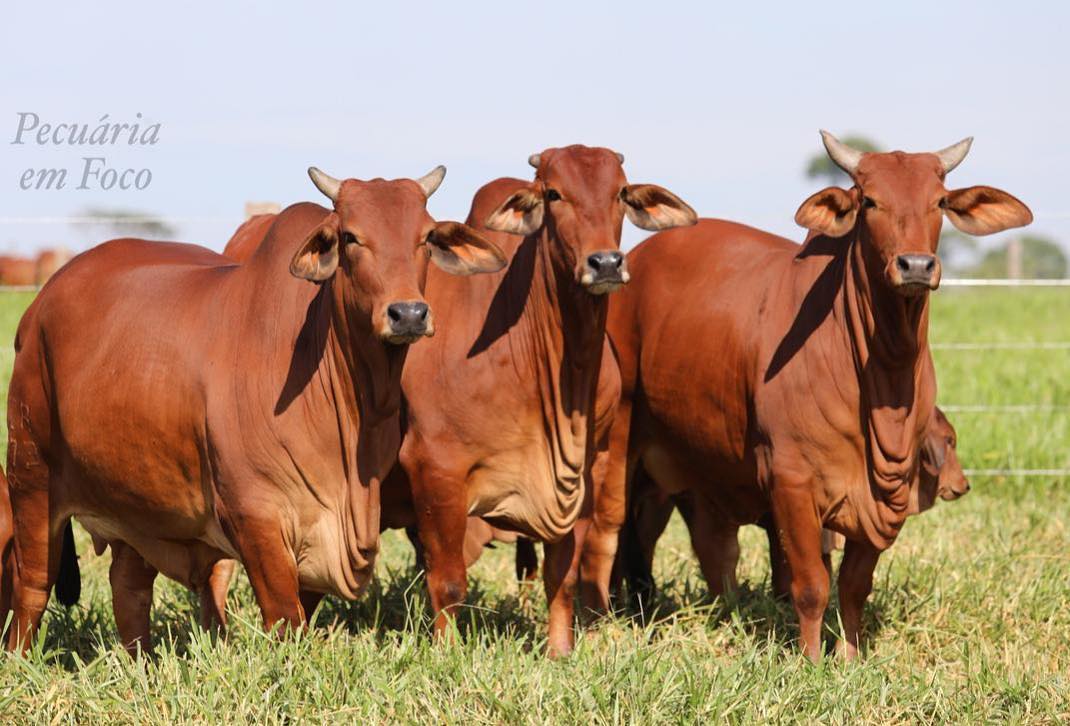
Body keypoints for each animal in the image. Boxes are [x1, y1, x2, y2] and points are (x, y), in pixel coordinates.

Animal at [1, 164, 505, 654]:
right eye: (350, 237)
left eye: (425, 236)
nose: (409, 314)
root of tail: (39, 305)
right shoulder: (256, 513)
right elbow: (286, 618)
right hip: (32, 476)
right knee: (33, 585)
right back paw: (21, 657)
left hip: (135, 502)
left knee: (129, 588)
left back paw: (140, 661)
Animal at [380, 147, 697, 658]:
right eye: (553, 194)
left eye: (621, 192)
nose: (606, 263)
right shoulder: (436, 469)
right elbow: (447, 580)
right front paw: (446, 652)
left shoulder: (585, 473)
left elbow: (562, 573)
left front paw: (560, 649)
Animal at [590, 133, 1031, 662]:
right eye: (869, 201)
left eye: (940, 201)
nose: (916, 266)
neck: (881, 374)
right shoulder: (792, 481)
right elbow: (810, 584)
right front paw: (810, 659)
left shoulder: (886, 494)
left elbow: (854, 586)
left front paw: (851, 655)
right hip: (620, 445)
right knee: (609, 530)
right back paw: (604, 616)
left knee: (699, 547)